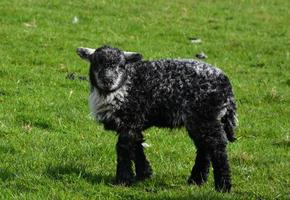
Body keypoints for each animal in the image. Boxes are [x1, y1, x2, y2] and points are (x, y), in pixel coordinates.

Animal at [76, 45, 237, 192]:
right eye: (96, 63)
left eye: (121, 65)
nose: (107, 80)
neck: (123, 87)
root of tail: (226, 84)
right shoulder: (134, 122)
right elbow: (137, 145)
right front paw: (144, 174)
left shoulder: (130, 119)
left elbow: (124, 148)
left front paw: (123, 179)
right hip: (199, 119)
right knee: (204, 148)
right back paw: (196, 180)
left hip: (205, 116)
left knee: (217, 147)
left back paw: (223, 186)